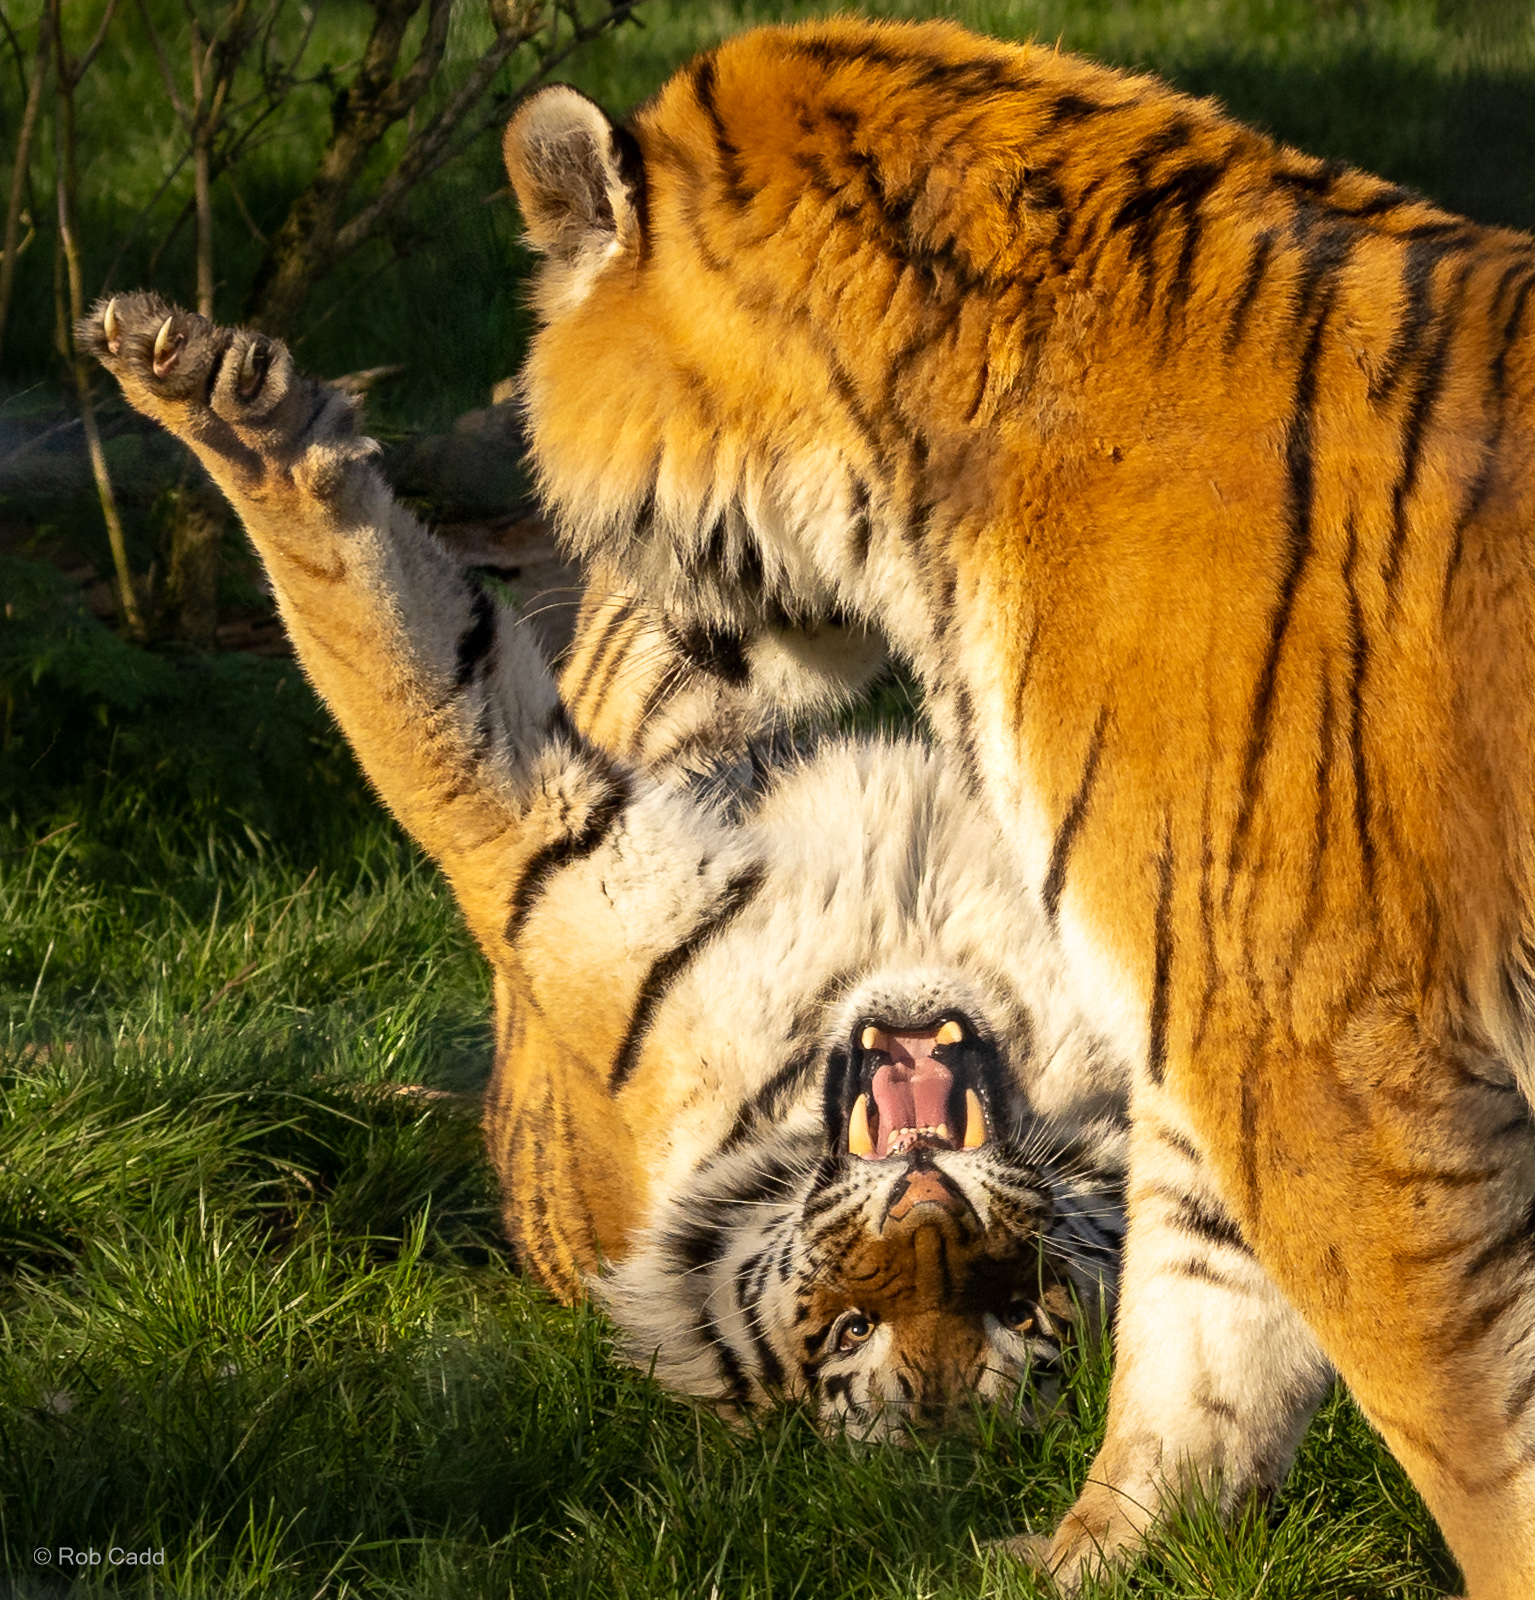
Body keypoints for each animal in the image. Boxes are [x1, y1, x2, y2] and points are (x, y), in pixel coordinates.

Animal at [81, 290, 1129, 1439]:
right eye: (853, 1328)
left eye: (1019, 1308)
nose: (927, 1197)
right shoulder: (565, 873)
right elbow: (394, 676)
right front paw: (231, 414)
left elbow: (398, 688)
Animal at [498, 14, 1535, 1594]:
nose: (599, 652)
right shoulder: (1211, 1019)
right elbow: (1194, 1335)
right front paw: (1093, 1553)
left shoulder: (1328, 1054)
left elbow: (1467, 1429)